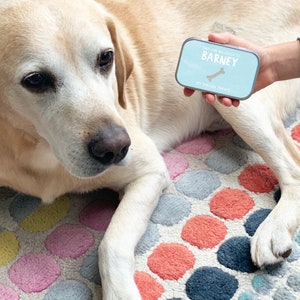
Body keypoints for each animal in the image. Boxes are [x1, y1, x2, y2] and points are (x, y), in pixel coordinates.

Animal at [0, 0, 300, 298]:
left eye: (105, 58)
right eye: (35, 80)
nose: (117, 148)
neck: (35, 146)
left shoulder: (150, 172)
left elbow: (111, 244)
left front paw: (120, 292)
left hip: (237, 95)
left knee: (293, 168)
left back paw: (274, 229)